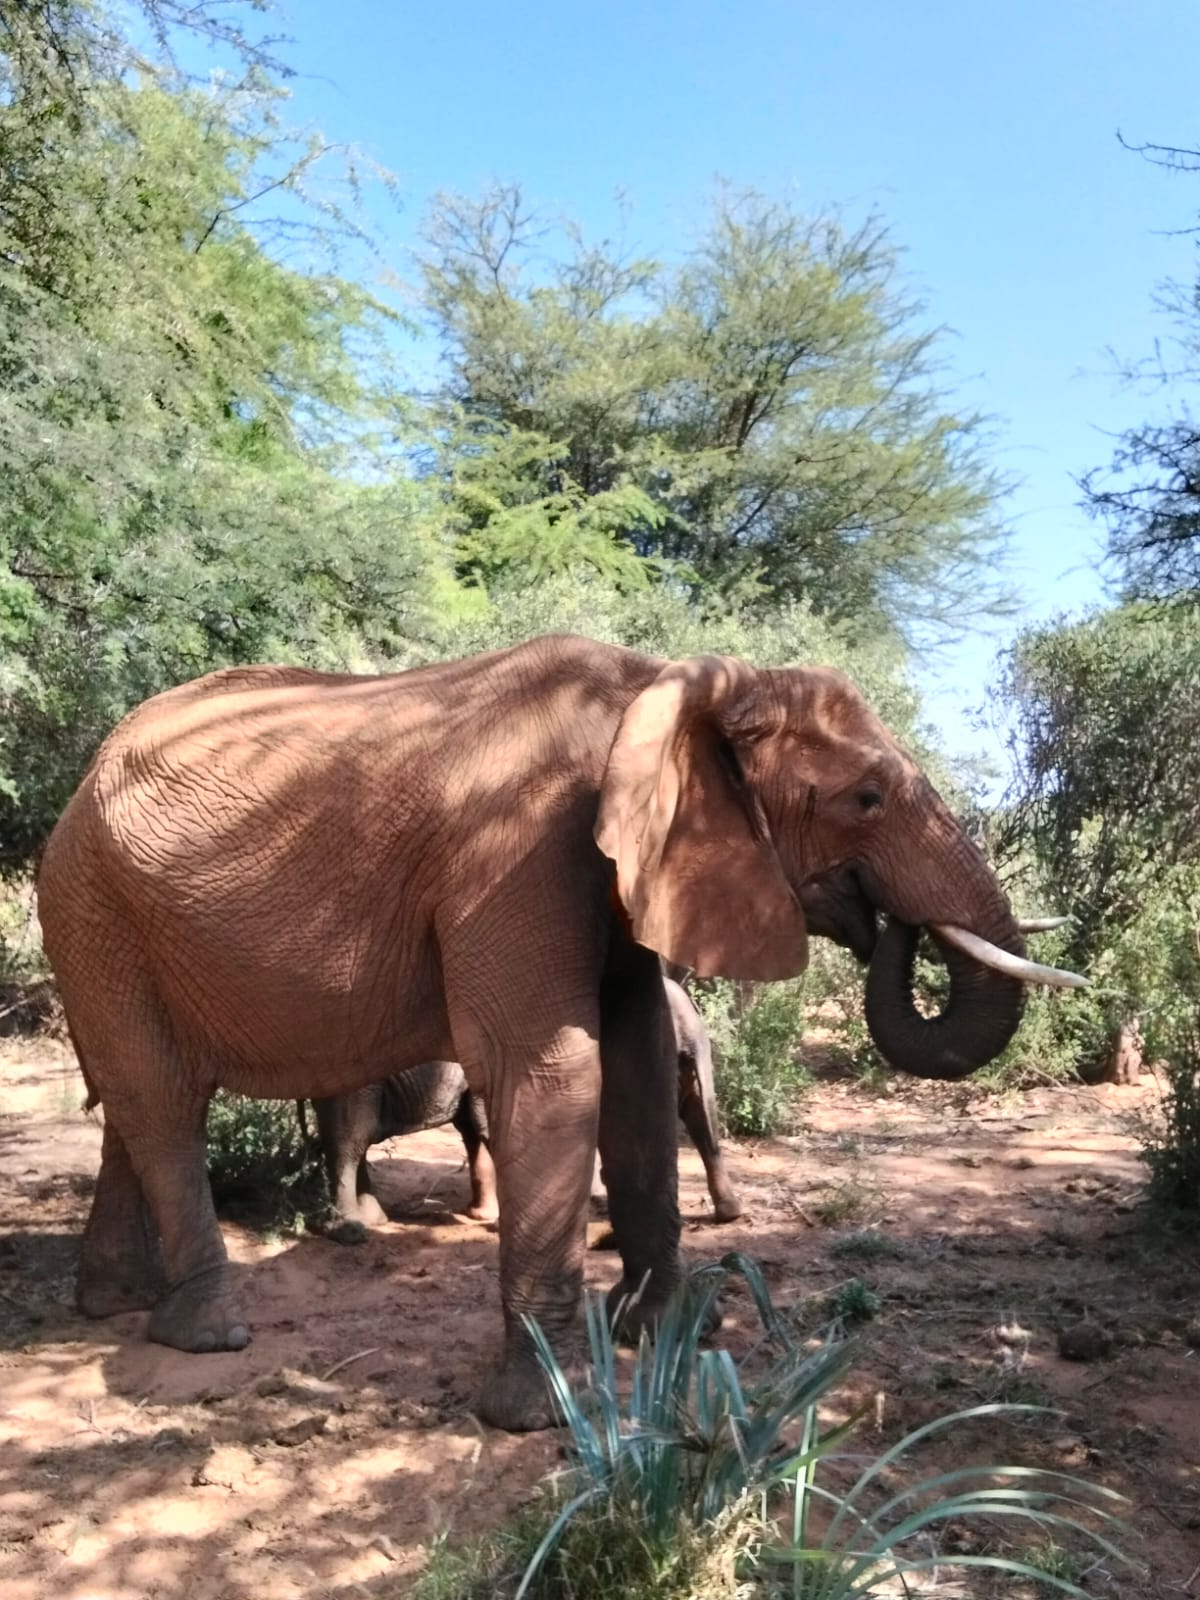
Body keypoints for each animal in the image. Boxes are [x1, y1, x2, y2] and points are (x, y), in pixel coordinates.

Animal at [304, 976, 742, 1238]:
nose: (732, 1216)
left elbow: (477, 1128)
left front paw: (482, 1216)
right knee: (349, 1142)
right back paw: (351, 1232)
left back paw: (372, 1220)